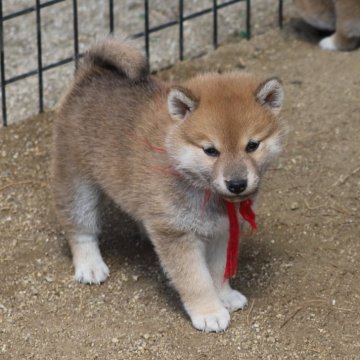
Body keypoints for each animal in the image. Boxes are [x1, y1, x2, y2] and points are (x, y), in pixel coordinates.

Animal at [52, 38, 286, 330]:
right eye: (211, 151)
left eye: (252, 145)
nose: (236, 184)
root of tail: (90, 73)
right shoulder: (178, 235)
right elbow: (197, 279)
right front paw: (209, 312)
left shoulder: (221, 232)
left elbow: (218, 270)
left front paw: (225, 296)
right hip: (77, 183)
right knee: (80, 229)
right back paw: (90, 266)